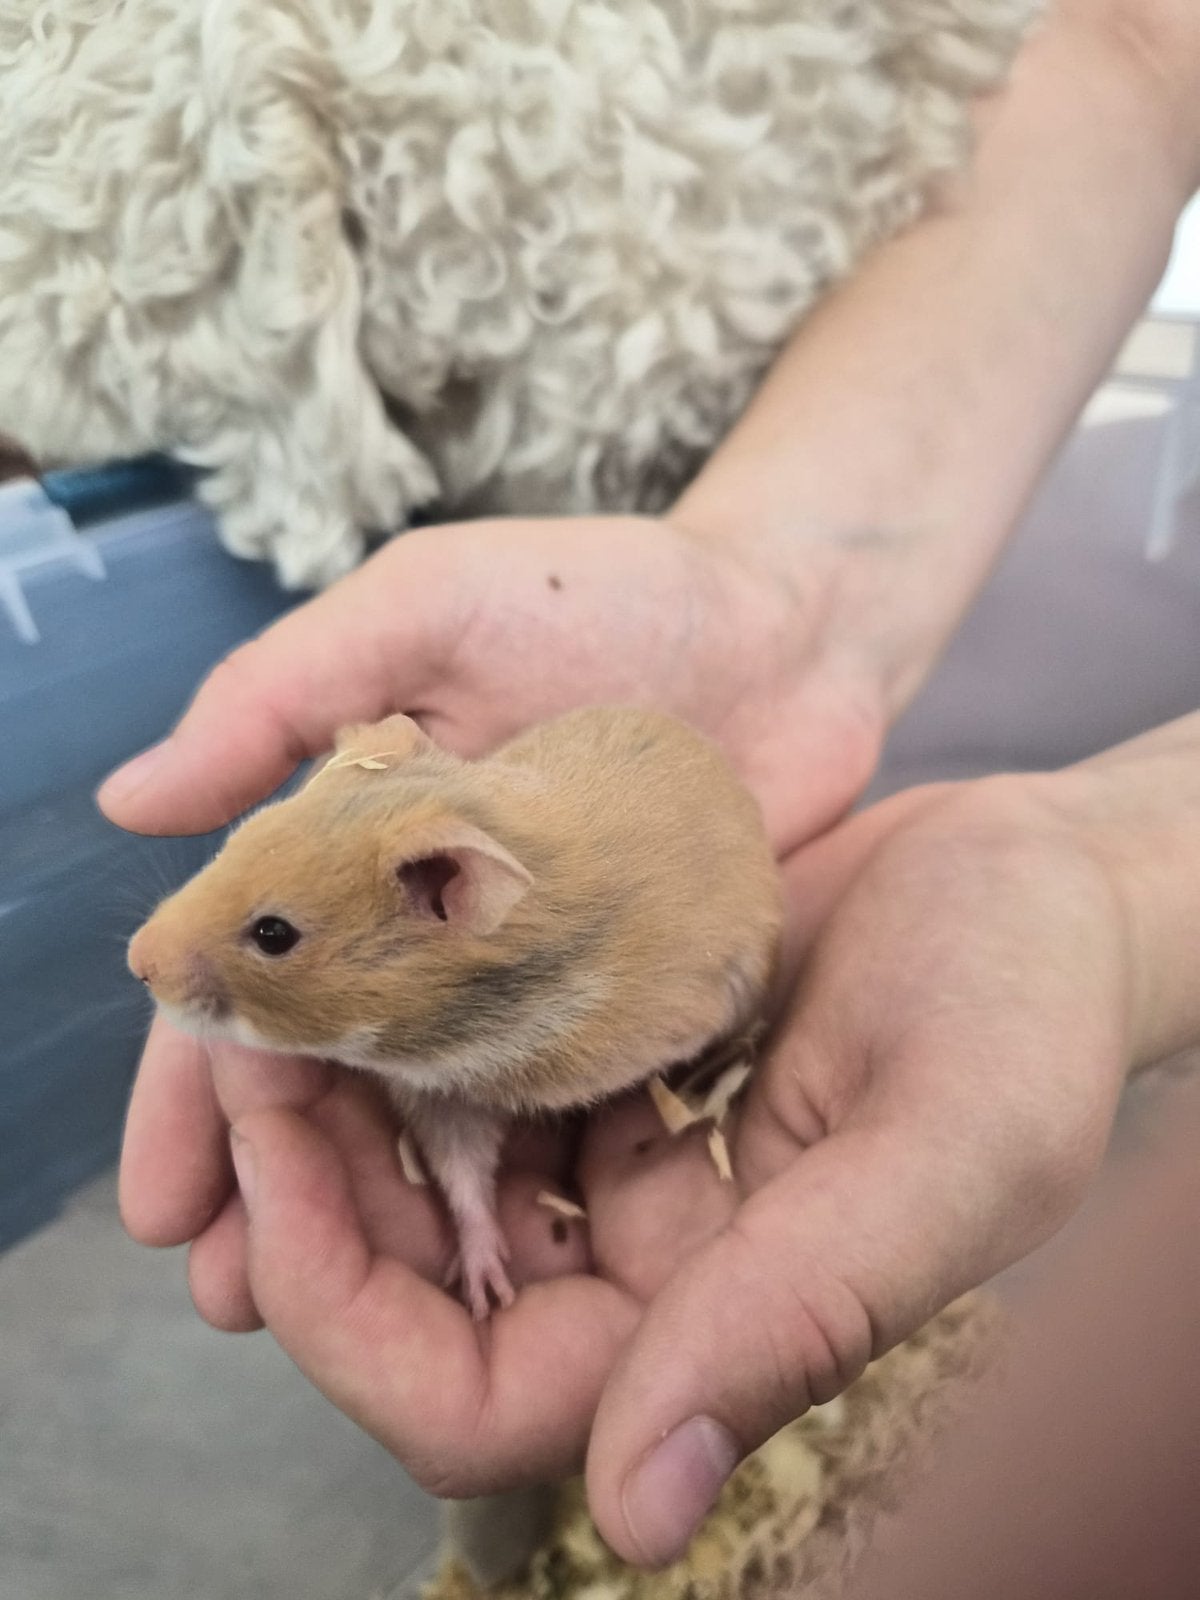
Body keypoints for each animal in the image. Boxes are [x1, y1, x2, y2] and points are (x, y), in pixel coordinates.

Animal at [128, 706, 782, 1319]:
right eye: (233, 843)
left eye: (273, 934)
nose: (137, 962)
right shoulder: (445, 1095)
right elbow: (463, 1177)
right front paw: (486, 1291)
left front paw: (490, 1298)